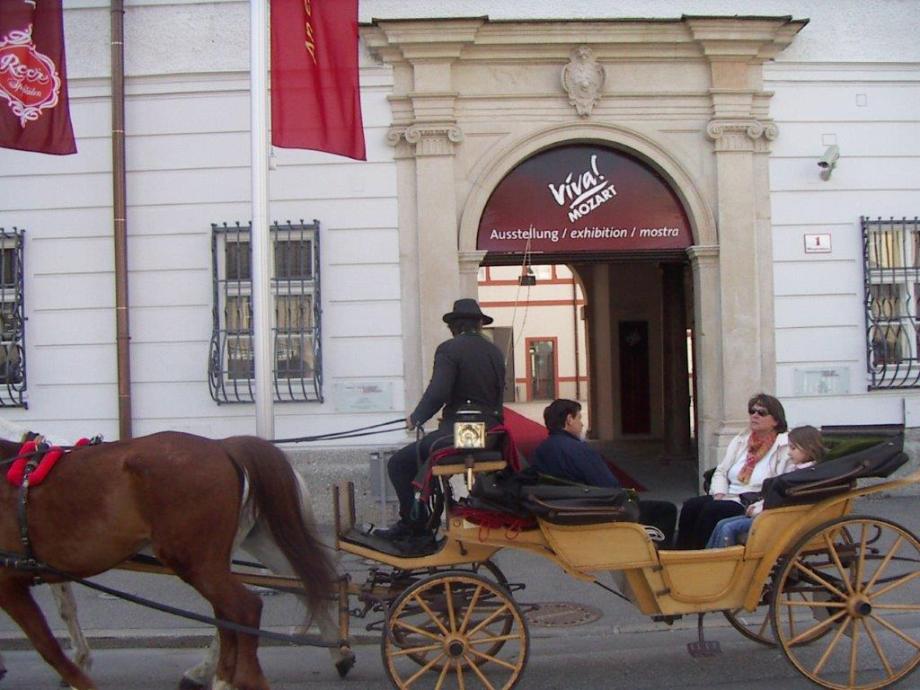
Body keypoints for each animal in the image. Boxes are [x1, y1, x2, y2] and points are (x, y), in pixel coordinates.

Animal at [0, 431, 336, 690]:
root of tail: (222, 445)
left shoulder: (10, 586)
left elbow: (48, 646)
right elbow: (63, 617)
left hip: (196, 560)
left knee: (245, 608)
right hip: (216, 558)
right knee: (242, 607)